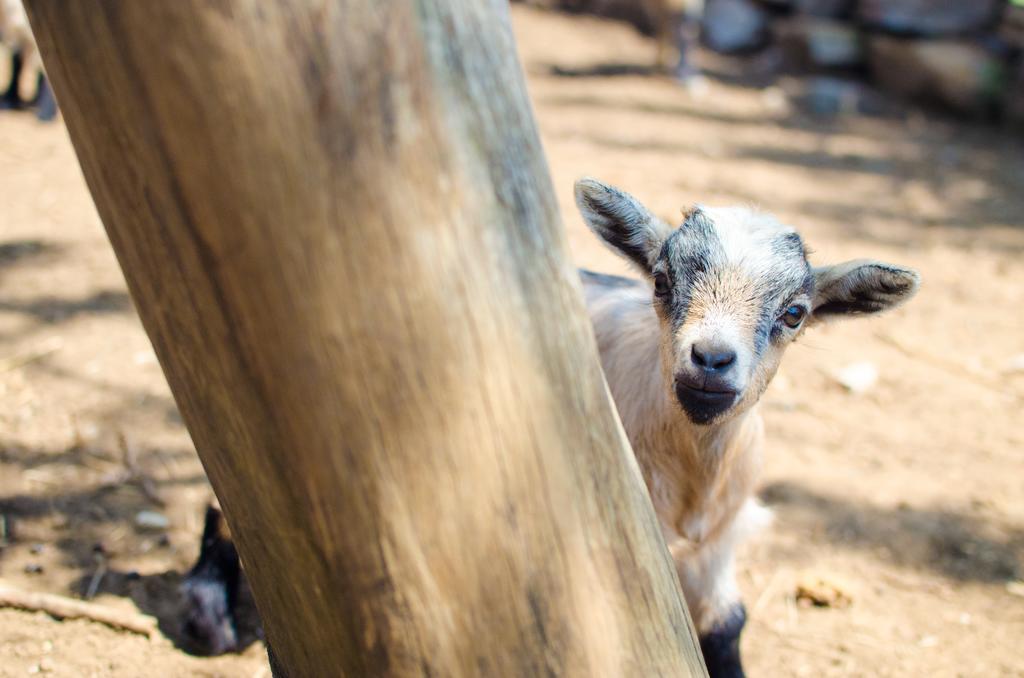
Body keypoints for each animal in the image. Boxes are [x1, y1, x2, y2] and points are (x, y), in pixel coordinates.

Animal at [577, 178, 921, 675]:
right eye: (661, 281)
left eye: (794, 313)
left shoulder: (722, 537)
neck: (694, 480)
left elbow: (728, 622)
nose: (711, 359)